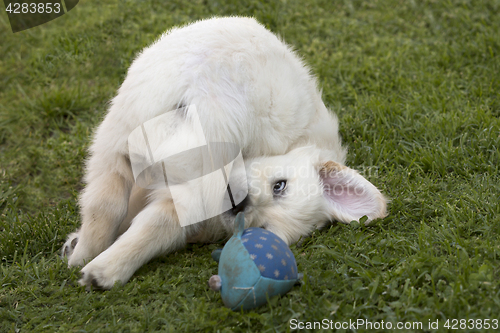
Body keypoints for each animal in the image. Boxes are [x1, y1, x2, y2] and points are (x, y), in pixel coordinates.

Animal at [62, 16, 388, 290]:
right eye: (280, 186)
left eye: (261, 229)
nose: (240, 205)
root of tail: (209, 89)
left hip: (121, 130)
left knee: (107, 201)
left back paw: (89, 260)